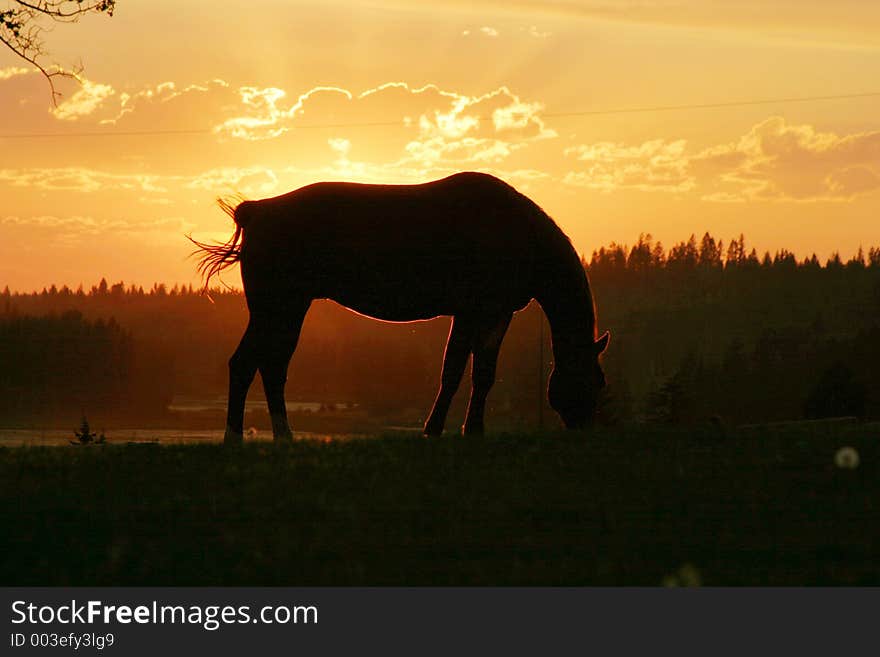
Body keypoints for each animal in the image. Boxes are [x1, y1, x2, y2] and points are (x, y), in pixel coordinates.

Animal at [192, 172, 604, 444]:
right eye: (592, 382)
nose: (587, 428)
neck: (520, 232)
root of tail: (257, 211)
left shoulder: (477, 314)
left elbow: (465, 372)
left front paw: (449, 429)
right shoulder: (486, 312)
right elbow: (470, 373)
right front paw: (460, 430)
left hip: (280, 311)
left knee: (262, 366)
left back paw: (272, 437)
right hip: (279, 309)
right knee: (255, 365)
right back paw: (248, 437)